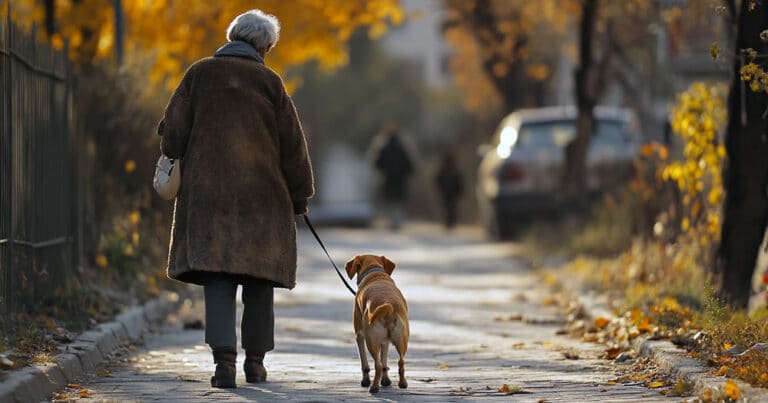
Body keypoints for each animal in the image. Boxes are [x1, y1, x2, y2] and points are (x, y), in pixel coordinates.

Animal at [346, 256, 412, 394]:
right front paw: (386, 380)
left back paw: (374, 387)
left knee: (378, 365)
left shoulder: (359, 335)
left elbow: (365, 364)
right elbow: (385, 359)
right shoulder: (385, 341)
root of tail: (389, 307)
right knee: (400, 362)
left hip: (371, 341)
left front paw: (365, 381)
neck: (375, 273)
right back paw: (402, 383)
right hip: (401, 341)